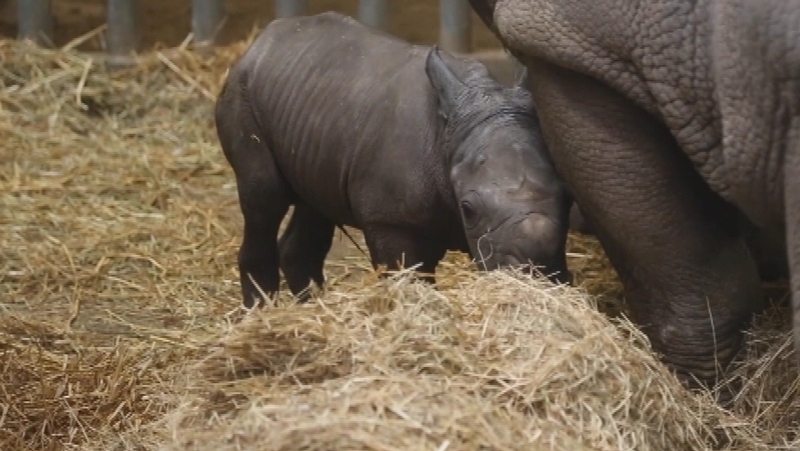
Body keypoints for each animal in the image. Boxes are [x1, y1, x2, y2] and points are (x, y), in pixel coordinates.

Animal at [215, 12, 571, 308]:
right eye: (468, 210)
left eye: (568, 201)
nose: (533, 266)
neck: (451, 134)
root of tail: (258, 44)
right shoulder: (390, 220)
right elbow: (408, 278)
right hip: (242, 94)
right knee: (263, 199)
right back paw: (261, 312)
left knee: (313, 204)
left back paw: (310, 307)